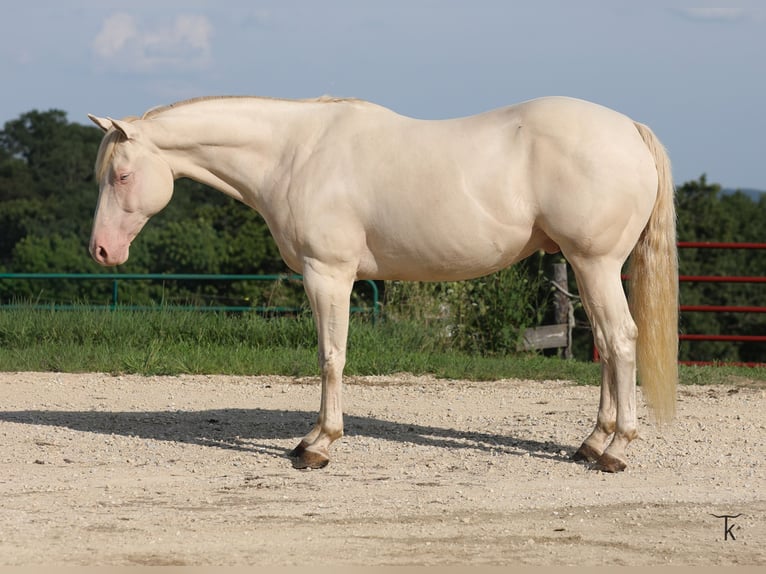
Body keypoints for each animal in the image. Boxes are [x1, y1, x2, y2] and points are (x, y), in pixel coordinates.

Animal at [87, 94, 678, 473]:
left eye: (121, 175)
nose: (101, 251)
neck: (295, 153)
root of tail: (629, 129)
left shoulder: (328, 273)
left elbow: (331, 356)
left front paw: (317, 445)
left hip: (595, 262)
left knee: (622, 340)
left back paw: (614, 450)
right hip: (586, 266)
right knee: (608, 345)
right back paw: (592, 442)